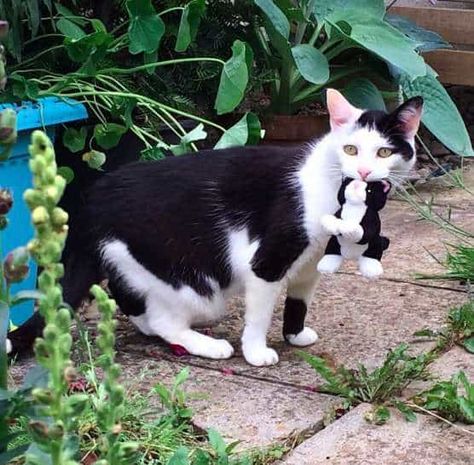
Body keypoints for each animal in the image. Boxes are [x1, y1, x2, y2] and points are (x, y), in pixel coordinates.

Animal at [8, 89, 422, 366]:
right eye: (351, 149)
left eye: (384, 152)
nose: (364, 173)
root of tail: (92, 201)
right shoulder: (268, 261)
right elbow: (260, 314)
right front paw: (256, 352)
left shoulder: (310, 263)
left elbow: (299, 300)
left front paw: (295, 334)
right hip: (190, 281)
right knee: (164, 317)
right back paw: (207, 346)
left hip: (133, 259)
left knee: (131, 298)